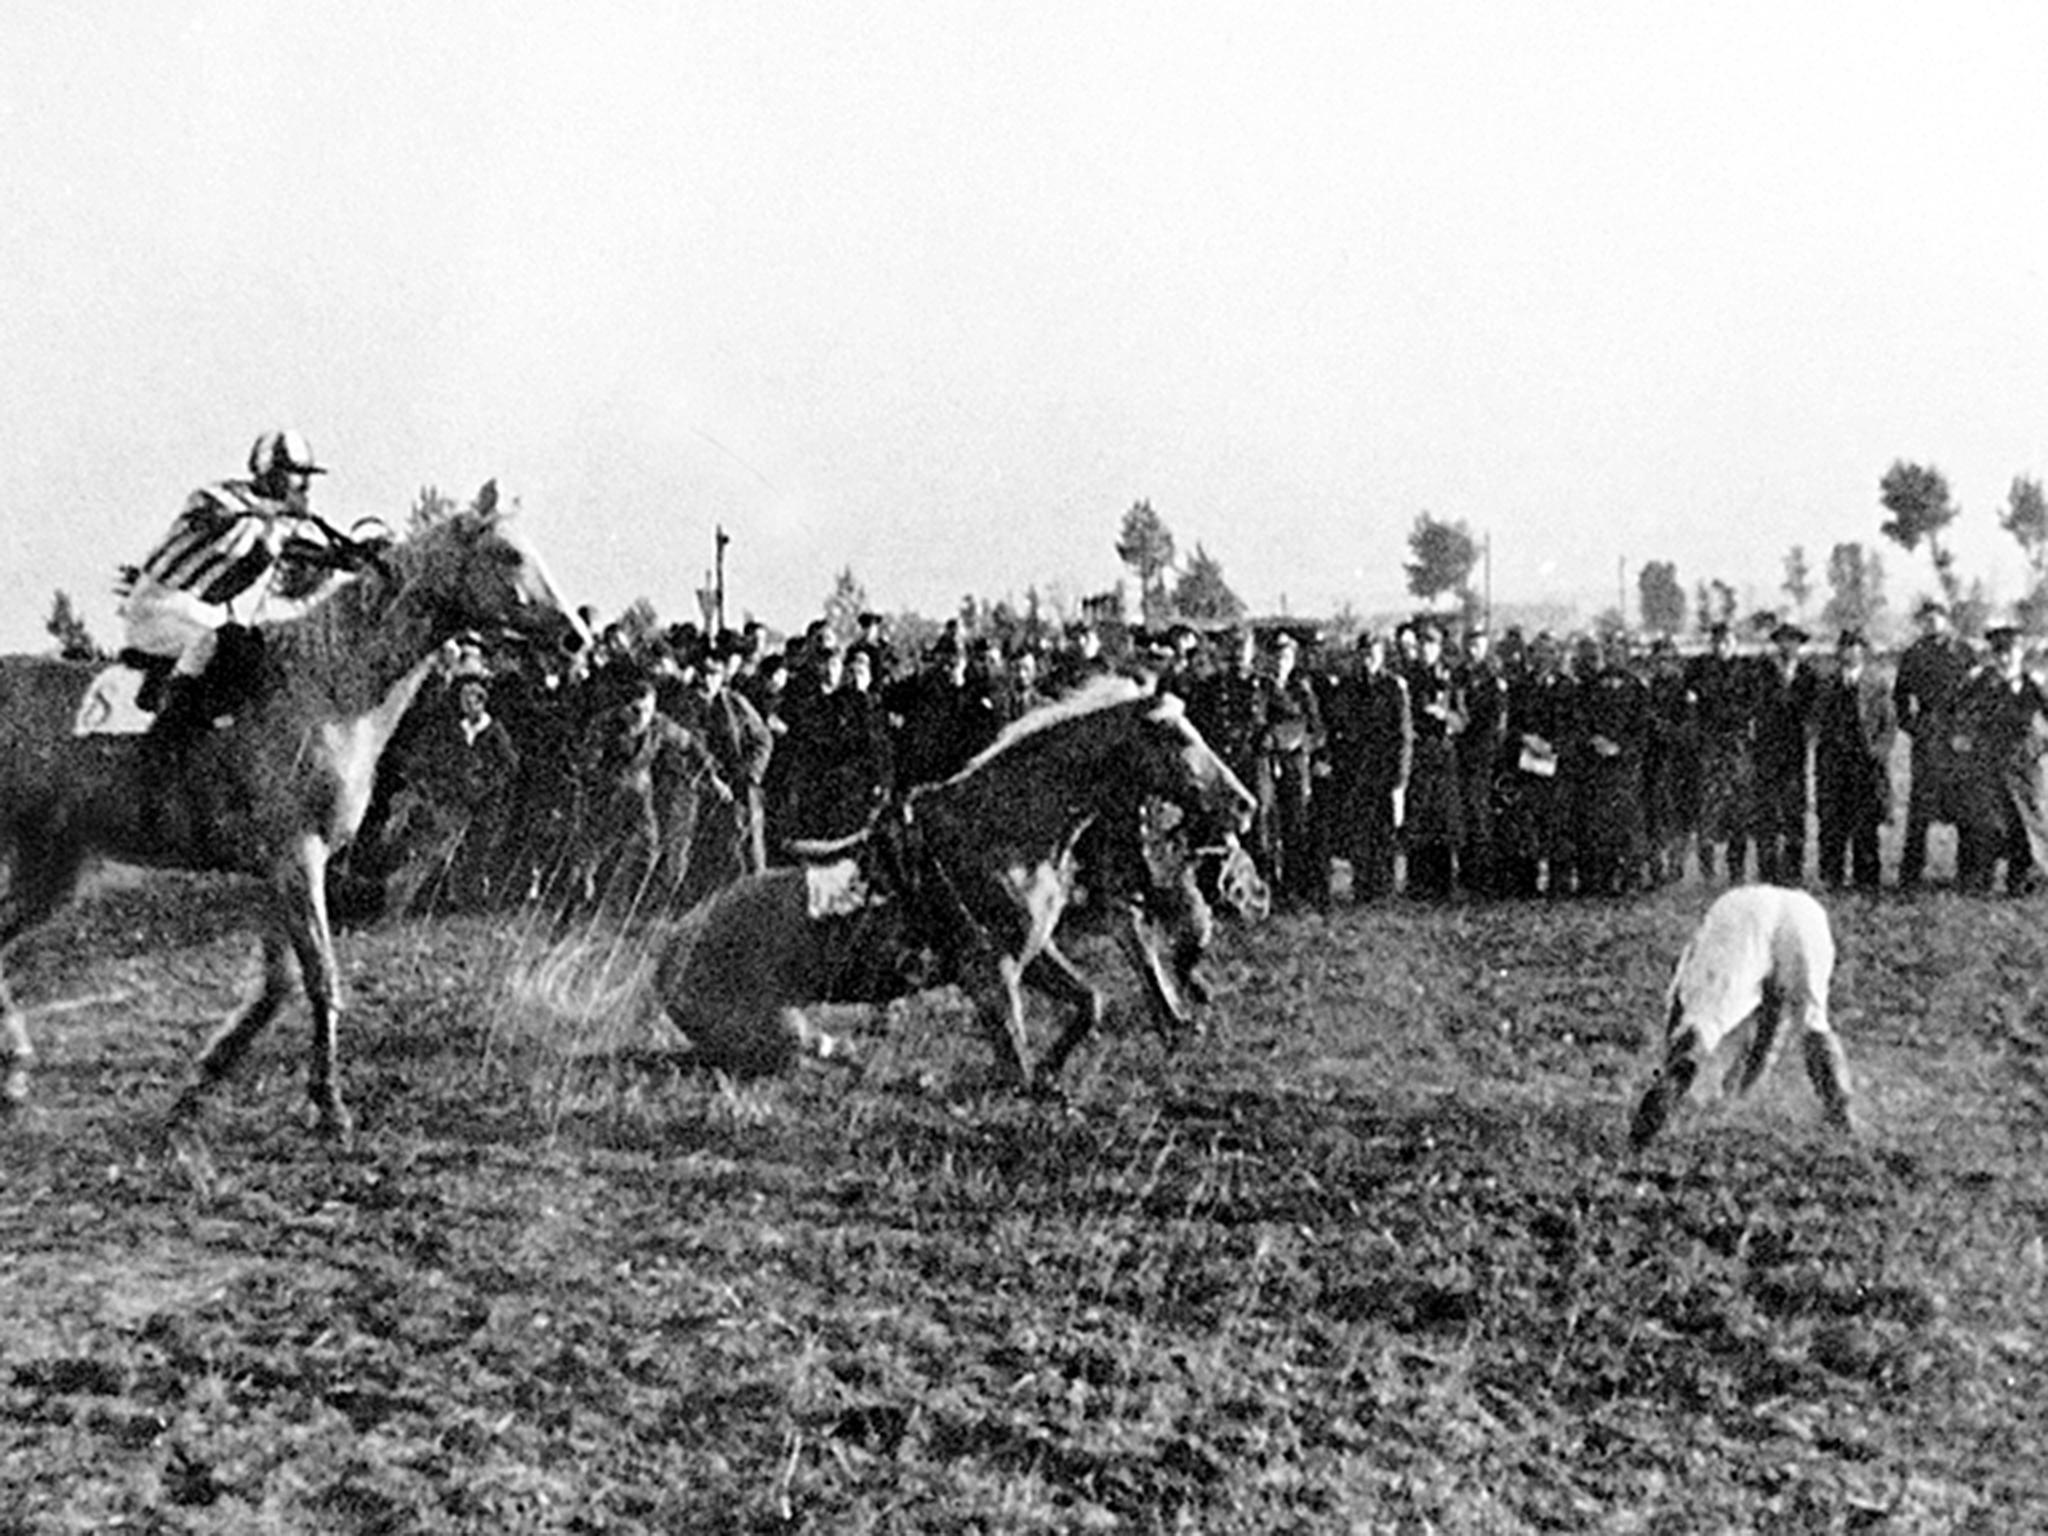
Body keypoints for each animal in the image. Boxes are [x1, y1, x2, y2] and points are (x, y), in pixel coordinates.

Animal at [0, 505, 585, 1146]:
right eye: (509, 554)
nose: (573, 637)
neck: (325, 688)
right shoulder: (296, 858)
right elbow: (320, 978)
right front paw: (329, 1104)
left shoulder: (277, 871)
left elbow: (276, 987)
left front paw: (199, 1087)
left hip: (53, 866)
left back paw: (17, 1072)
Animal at [663, 679, 1253, 1089]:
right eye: (1174, 735)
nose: (1243, 804)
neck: (1004, 832)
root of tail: (665, 956)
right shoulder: (989, 971)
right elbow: (1013, 1055)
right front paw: (1034, 1079)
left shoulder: (1034, 951)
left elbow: (1090, 1002)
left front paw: (1054, 1068)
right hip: (776, 1029)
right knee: (810, 1051)